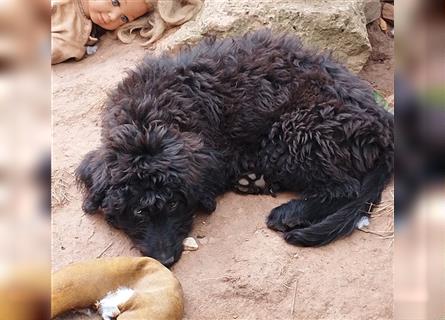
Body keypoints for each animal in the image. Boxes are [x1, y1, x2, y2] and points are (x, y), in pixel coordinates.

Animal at [75, 29, 392, 264]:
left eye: (174, 203)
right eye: (139, 212)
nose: (166, 260)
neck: (149, 117)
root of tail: (382, 123)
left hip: (293, 132)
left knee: (345, 188)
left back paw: (288, 213)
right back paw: (255, 181)